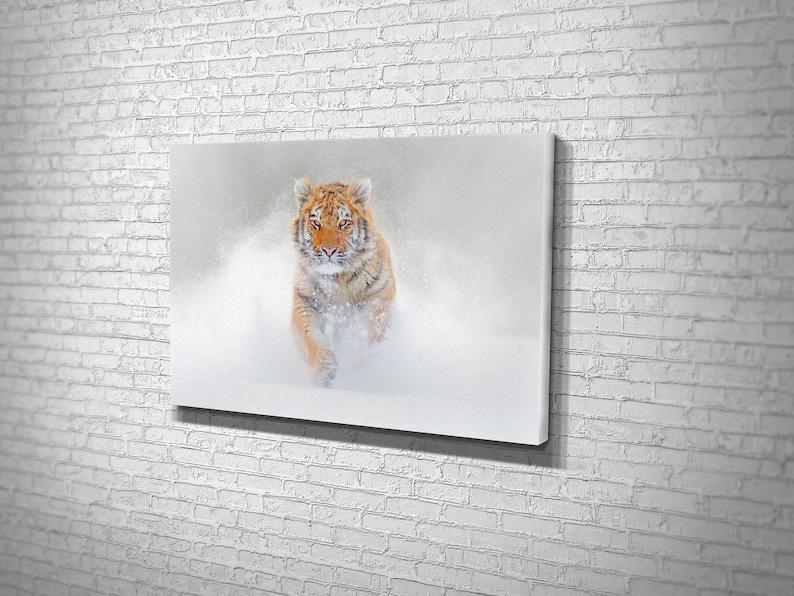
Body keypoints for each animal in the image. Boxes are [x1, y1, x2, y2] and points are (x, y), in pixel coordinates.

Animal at [290, 176, 396, 385]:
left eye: (343, 223)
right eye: (316, 223)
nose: (328, 250)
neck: (338, 279)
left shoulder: (380, 297)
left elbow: (373, 334)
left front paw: (362, 366)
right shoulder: (305, 302)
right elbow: (311, 338)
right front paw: (325, 368)